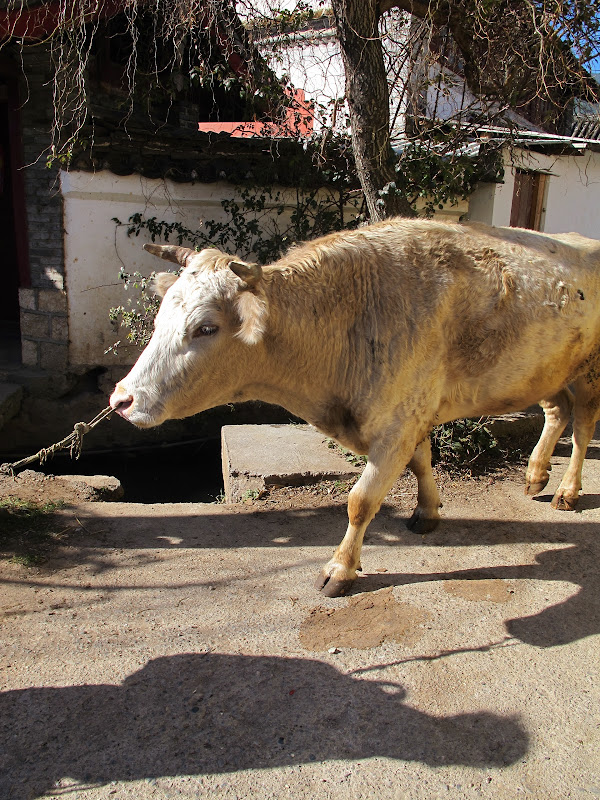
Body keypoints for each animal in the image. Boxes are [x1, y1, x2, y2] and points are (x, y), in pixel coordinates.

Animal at [109, 218, 600, 597]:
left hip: (590, 370)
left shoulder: (398, 422)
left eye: (206, 327)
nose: (121, 400)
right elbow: (422, 462)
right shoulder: (409, 416)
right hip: (545, 368)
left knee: (583, 426)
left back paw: (567, 491)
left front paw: (340, 569)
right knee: (557, 411)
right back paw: (535, 475)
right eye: (161, 318)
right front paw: (427, 512)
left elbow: (360, 501)